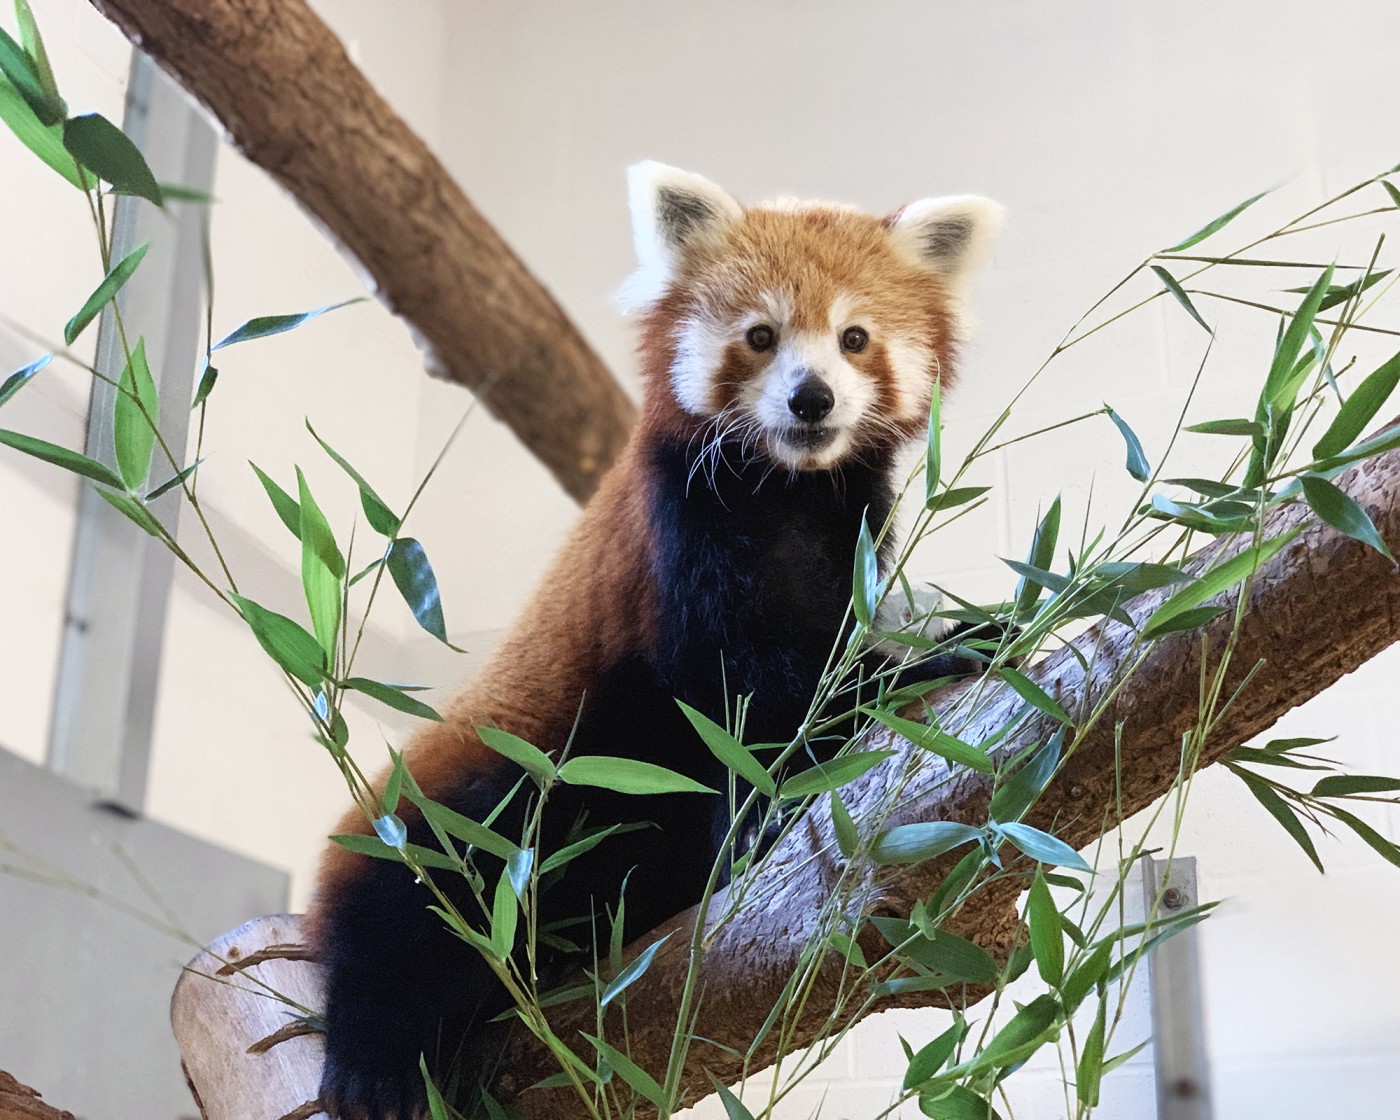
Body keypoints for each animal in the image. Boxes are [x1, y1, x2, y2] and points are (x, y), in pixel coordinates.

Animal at [310, 163, 1002, 1120]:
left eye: (855, 338)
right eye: (761, 336)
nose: (812, 397)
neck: (788, 493)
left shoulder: (850, 539)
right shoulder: (687, 535)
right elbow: (756, 693)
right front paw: (911, 675)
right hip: (496, 783)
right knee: (415, 900)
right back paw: (376, 1057)